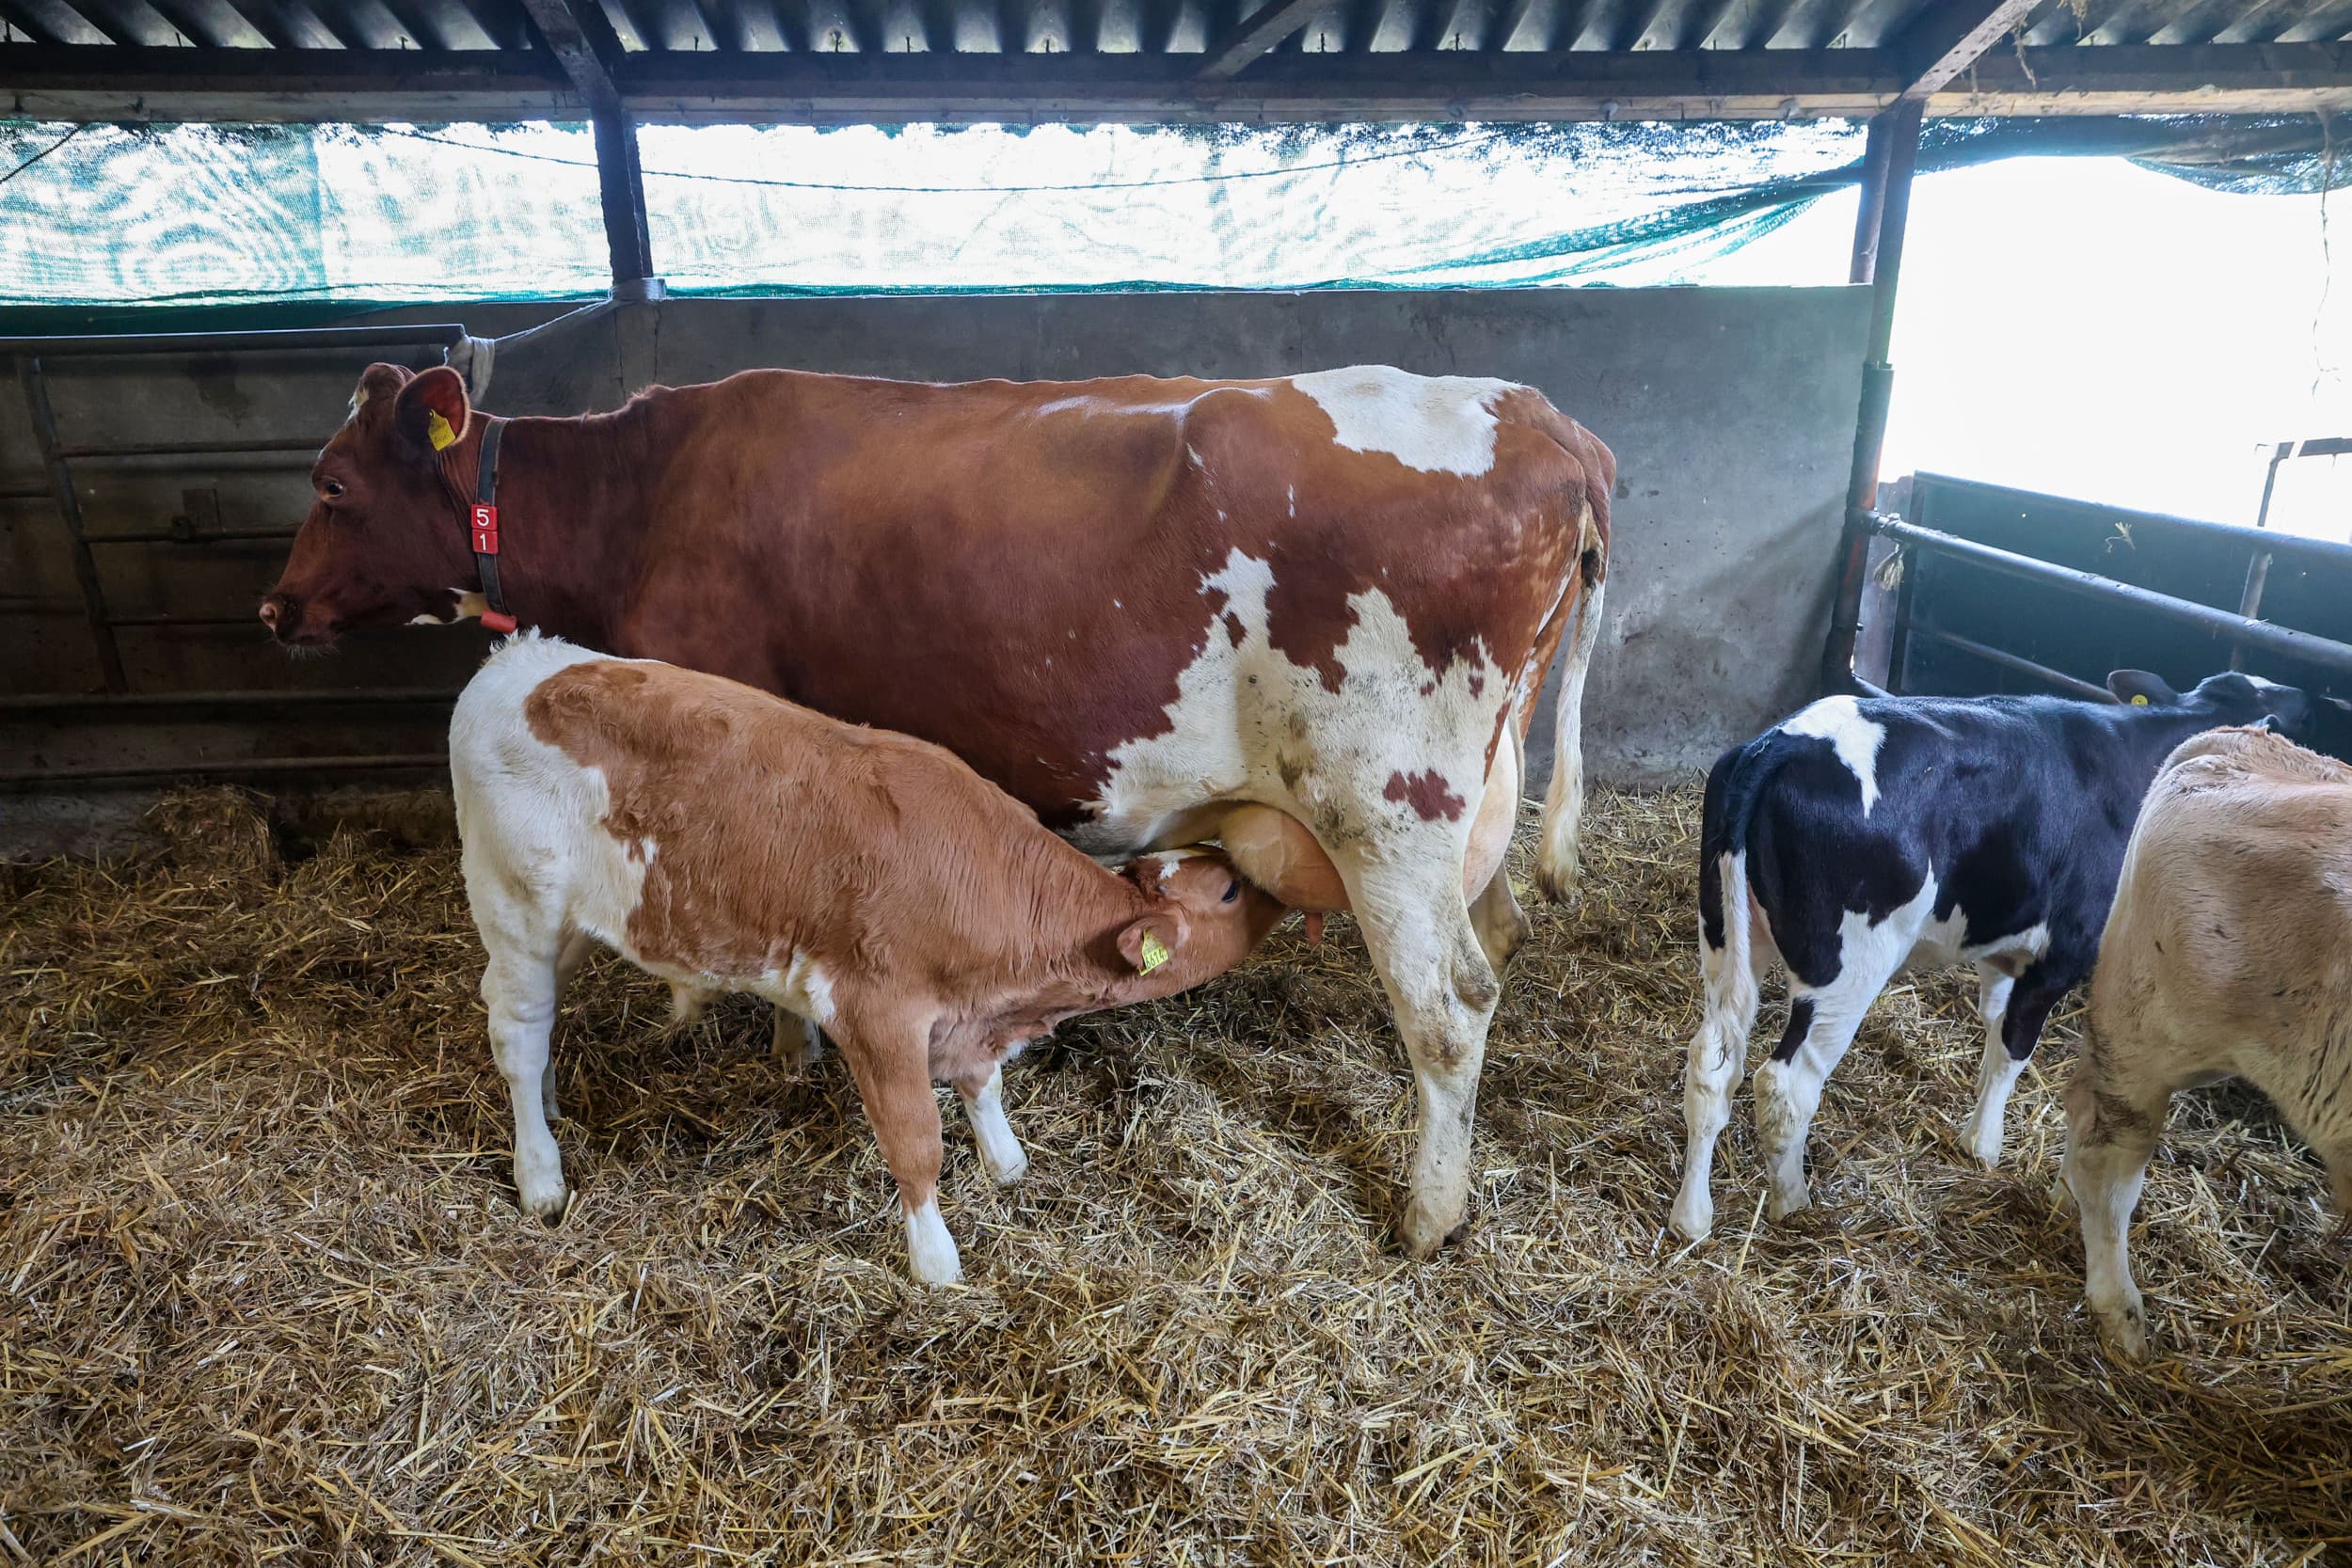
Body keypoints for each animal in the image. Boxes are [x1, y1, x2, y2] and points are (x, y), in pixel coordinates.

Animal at [452, 633, 1285, 1284]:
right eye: (1232, 890)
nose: (1283, 892)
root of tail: (514, 661)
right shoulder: (876, 1010)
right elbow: (916, 1142)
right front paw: (936, 1264)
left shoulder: (965, 1019)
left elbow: (982, 1086)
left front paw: (1007, 1161)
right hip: (512, 903)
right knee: (516, 1033)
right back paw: (540, 1173)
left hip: (576, 921)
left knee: (540, 1017)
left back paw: (552, 1110)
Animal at [1669, 670, 2316, 1244]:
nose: (2307, 699)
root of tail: (1779, 743)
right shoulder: (2065, 951)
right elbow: (2014, 1049)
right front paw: (1983, 1145)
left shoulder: (2005, 945)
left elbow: (1994, 1027)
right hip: (1848, 967)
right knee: (1786, 1084)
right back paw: (1792, 1203)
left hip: (1725, 934)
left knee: (1712, 1062)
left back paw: (1692, 1217)